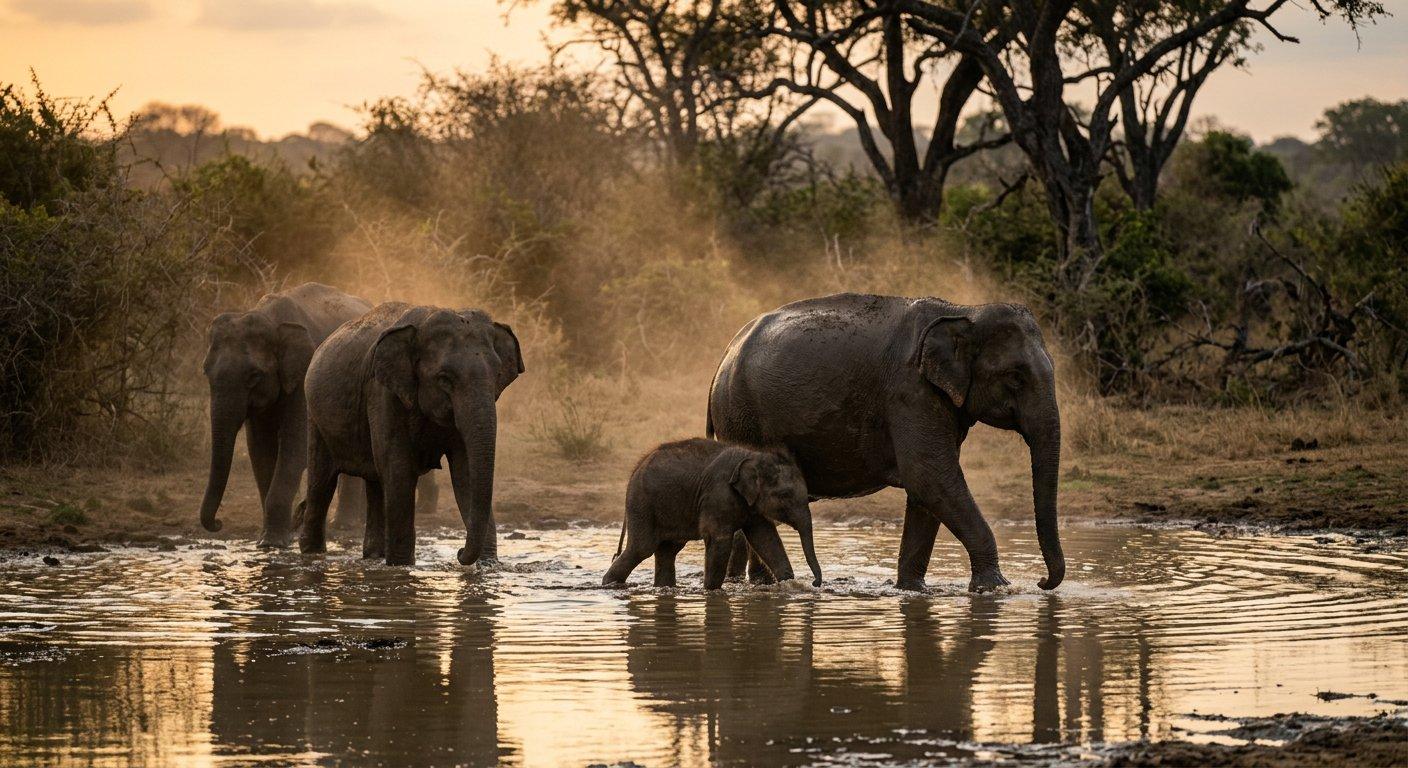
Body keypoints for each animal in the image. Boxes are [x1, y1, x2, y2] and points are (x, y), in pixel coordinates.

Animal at [198, 282, 374, 546]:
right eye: (206, 372)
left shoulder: (303, 374)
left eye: (254, 376)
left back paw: (345, 525)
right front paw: (271, 539)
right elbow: (260, 449)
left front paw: (273, 542)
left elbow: (295, 445)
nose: (218, 523)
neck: (269, 318)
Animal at [298, 303, 524, 566]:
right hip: (315, 417)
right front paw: (402, 566)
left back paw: (373, 556)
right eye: (444, 379)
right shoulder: (383, 392)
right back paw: (312, 553)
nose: (458, 552)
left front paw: (487, 567)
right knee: (322, 482)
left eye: (497, 375)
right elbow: (399, 469)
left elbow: (466, 472)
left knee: (375, 482)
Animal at [602, 438, 822, 590]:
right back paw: (610, 585)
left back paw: (664, 587)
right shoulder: (718, 494)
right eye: (785, 495)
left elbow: (765, 538)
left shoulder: (751, 504)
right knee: (642, 548)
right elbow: (719, 539)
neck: (753, 455)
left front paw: (789, 584)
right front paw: (712, 591)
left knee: (668, 550)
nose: (815, 583)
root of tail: (635, 469)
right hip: (642, 504)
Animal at [707, 293, 1064, 593]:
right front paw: (994, 589)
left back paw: (760, 585)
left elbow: (927, 491)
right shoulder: (910, 393)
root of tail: (723, 357)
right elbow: (929, 477)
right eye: (1016, 378)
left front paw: (912, 590)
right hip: (742, 417)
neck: (964, 311)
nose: (1042, 582)